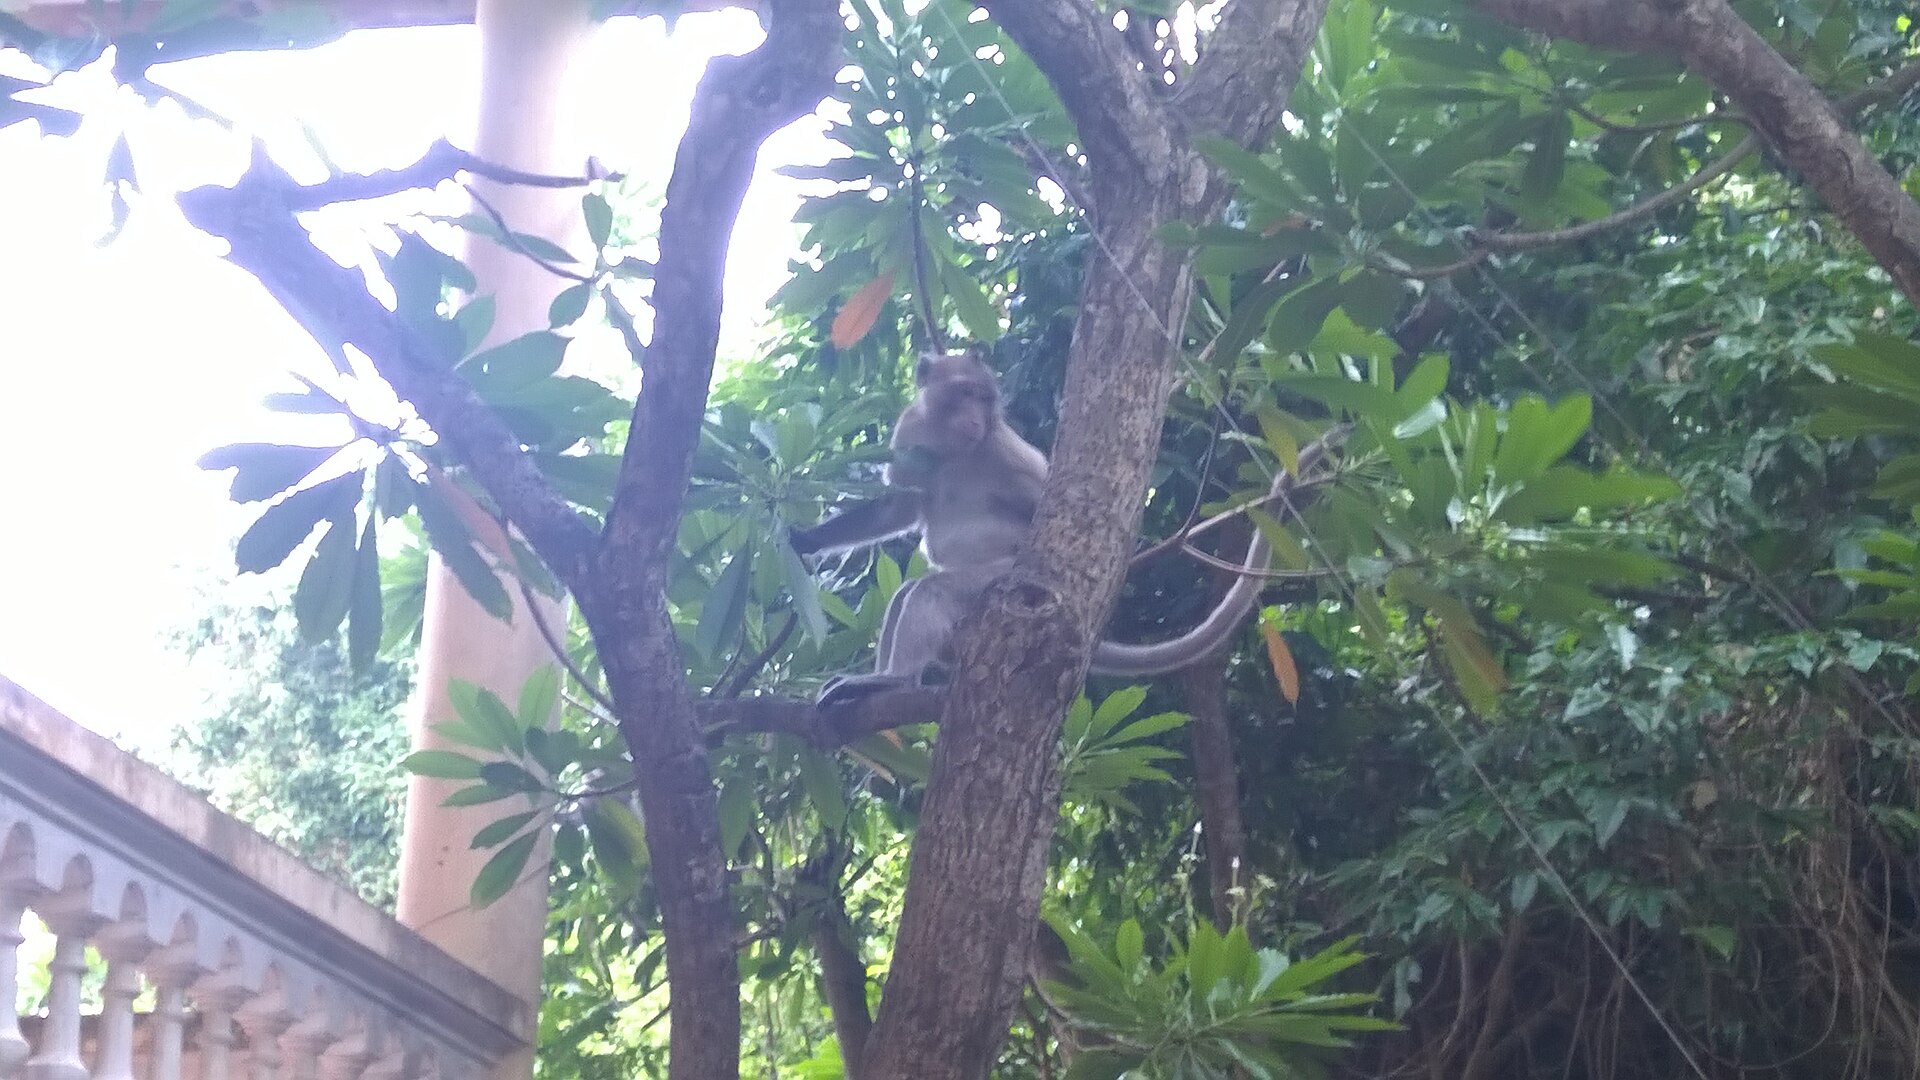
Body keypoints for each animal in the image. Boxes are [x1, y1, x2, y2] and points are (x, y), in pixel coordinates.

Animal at [791, 346, 1327, 707]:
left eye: (985, 400)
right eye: (965, 393)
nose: (976, 419)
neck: (955, 451)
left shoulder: (1003, 453)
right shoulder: (911, 439)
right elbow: (897, 509)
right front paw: (807, 540)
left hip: (997, 581)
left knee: (933, 592)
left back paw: (893, 679)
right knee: (908, 594)